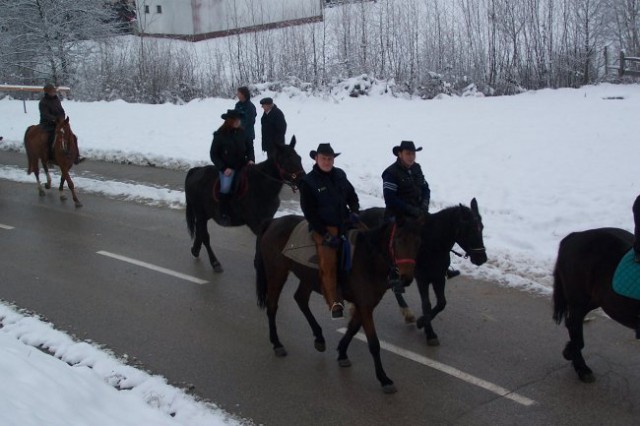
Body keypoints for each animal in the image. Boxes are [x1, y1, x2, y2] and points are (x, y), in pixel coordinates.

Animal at [185, 138, 304, 274]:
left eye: (299, 158)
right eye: (288, 160)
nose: (303, 179)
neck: (262, 185)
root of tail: (195, 171)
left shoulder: (266, 219)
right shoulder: (255, 223)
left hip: (205, 214)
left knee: (200, 232)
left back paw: (195, 250)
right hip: (200, 213)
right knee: (205, 236)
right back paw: (215, 263)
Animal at [255, 213, 424, 392]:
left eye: (418, 242)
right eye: (398, 239)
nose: (406, 278)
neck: (368, 259)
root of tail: (273, 221)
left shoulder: (367, 303)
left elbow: (353, 328)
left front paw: (342, 353)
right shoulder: (364, 304)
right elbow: (373, 343)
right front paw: (384, 379)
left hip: (308, 278)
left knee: (300, 299)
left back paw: (319, 338)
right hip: (277, 273)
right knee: (272, 307)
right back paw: (277, 344)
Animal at [360, 200, 484, 346]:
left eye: (482, 227)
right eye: (470, 229)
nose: (482, 258)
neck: (431, 245)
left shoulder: (438, 278)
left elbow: (441, 303)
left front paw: (422, 322)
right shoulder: (422, 279)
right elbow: (426, 304)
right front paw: (429, 332)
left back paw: (407, 312)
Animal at [552, 228, 640, 384]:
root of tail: (574, 235)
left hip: (594, 299)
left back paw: (570, 352)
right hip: (579, 299)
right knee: (574, 325)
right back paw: (582, 369)